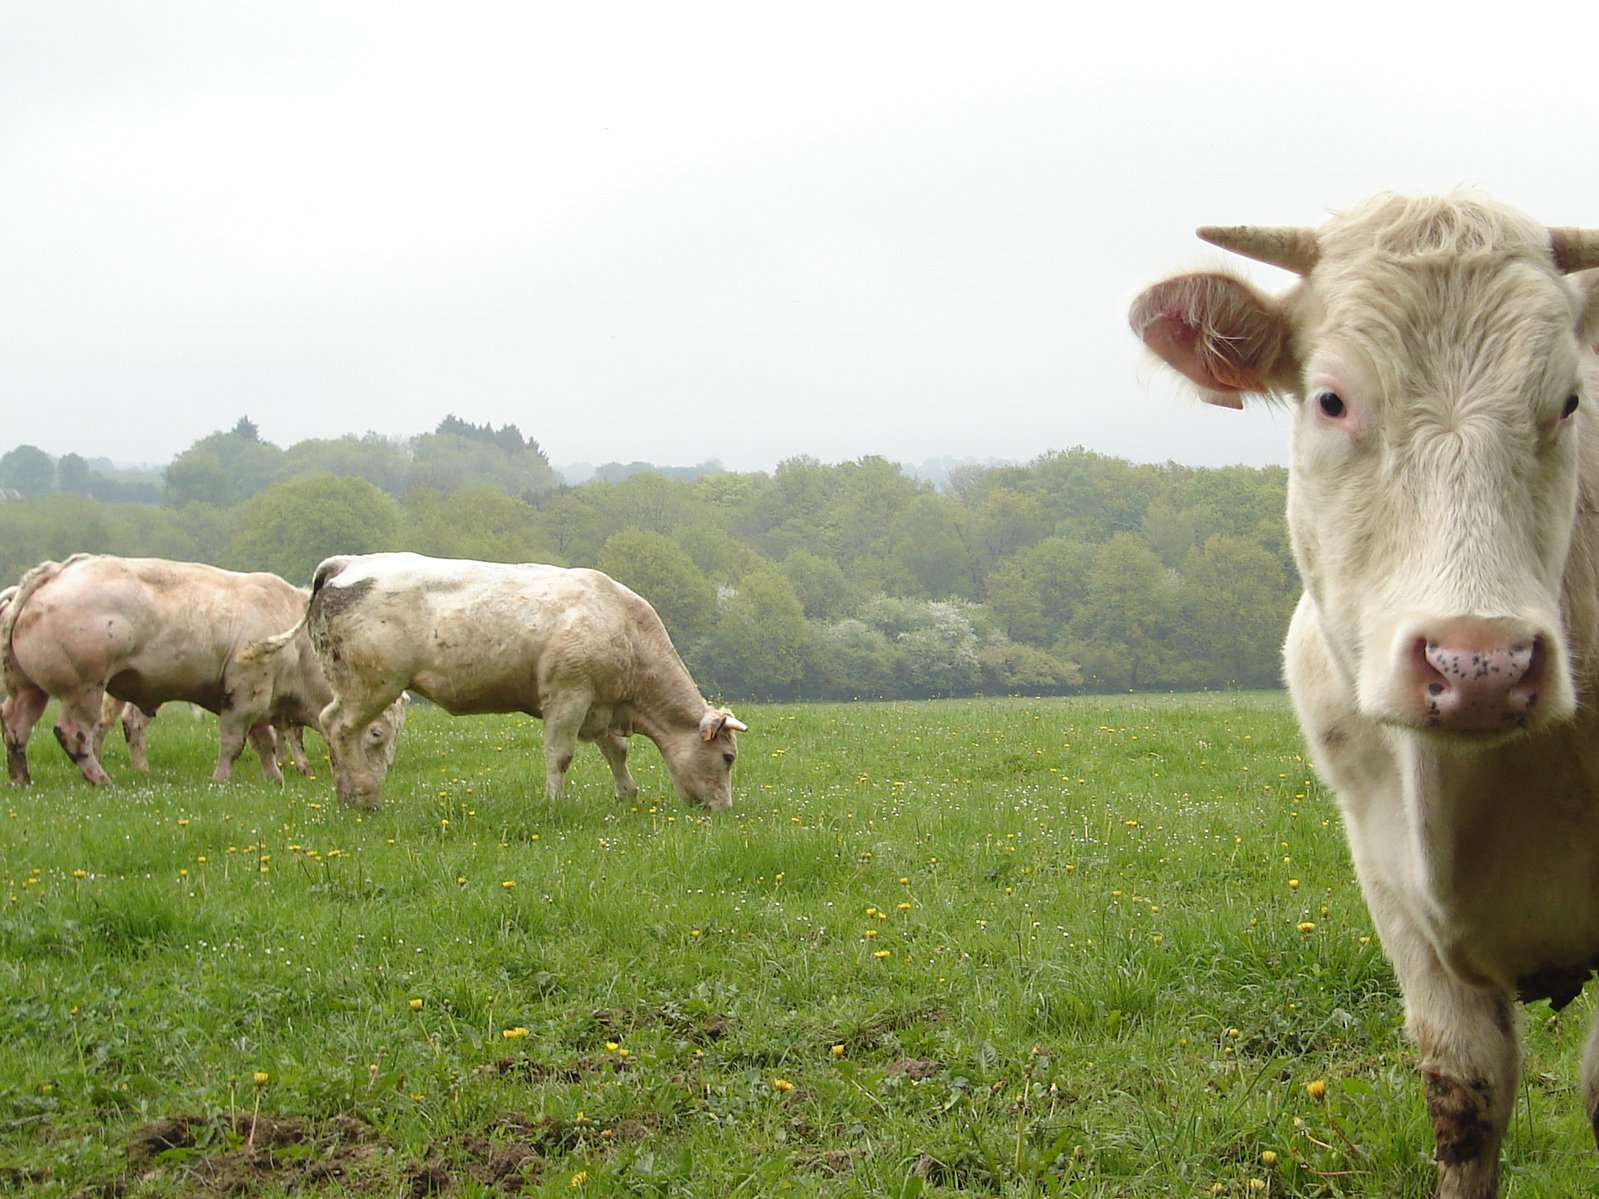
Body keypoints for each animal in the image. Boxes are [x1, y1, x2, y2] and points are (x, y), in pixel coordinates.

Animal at [0, 556, 330, 789]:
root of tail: (56, 571)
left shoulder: (259, 700)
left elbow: (264, 742)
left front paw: (275, 779)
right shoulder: (243, 694)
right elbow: (233, 743)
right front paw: (220, 780)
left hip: (28, 690)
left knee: (16, 727)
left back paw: (21, 780)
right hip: (83, 689)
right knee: (75, 733)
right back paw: (102, 780)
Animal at [303, 553, 741, 808]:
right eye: (728, 757)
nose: (723, 809)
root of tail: (345, 564)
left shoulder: (599, 703)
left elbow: (616, 751)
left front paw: (626, 794)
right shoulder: (569, 695)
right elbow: (560, 754)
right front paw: (554, 801)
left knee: (330, 727)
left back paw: (345, 796)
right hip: (370, 687)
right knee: (340, 727)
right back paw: (367, 793)